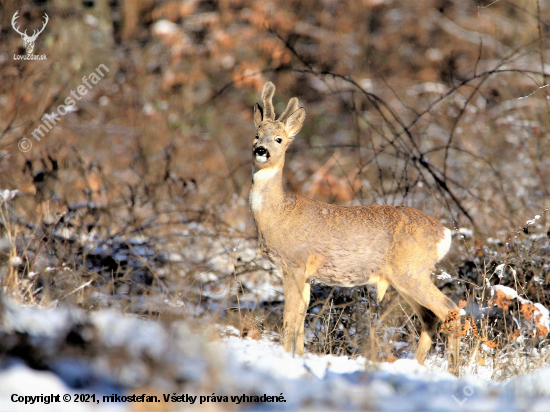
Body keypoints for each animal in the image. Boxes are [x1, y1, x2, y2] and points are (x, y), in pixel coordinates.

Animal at [250, 83, 462, 374]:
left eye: (279, 139)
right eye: (256, 134)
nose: (261, 150)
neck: (278, 214)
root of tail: (444, 233)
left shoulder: (294, 263)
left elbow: (290, 316)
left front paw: (284, 358)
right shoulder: (306, 273)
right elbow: (302, 314)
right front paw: (300, 357)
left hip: (411, 270)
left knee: (451, 309)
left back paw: (453, 371)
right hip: (406, 276)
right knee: (430, 317)